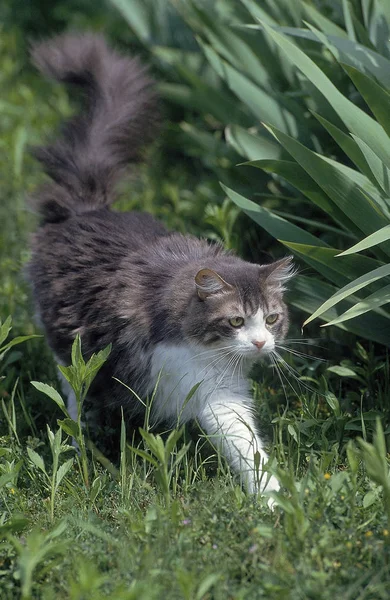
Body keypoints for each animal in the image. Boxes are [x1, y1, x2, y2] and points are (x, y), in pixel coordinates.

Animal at [27, 35, 294, 500]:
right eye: (237, 321)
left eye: (272, 319)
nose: (261, 343)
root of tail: (87, 209)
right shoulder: (203, 388)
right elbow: (242, 446)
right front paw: (275, 503)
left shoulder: (224, 391)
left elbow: (250, 448)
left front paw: (276, 499)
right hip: (69, 348)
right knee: (72, 396)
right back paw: (81, 444)